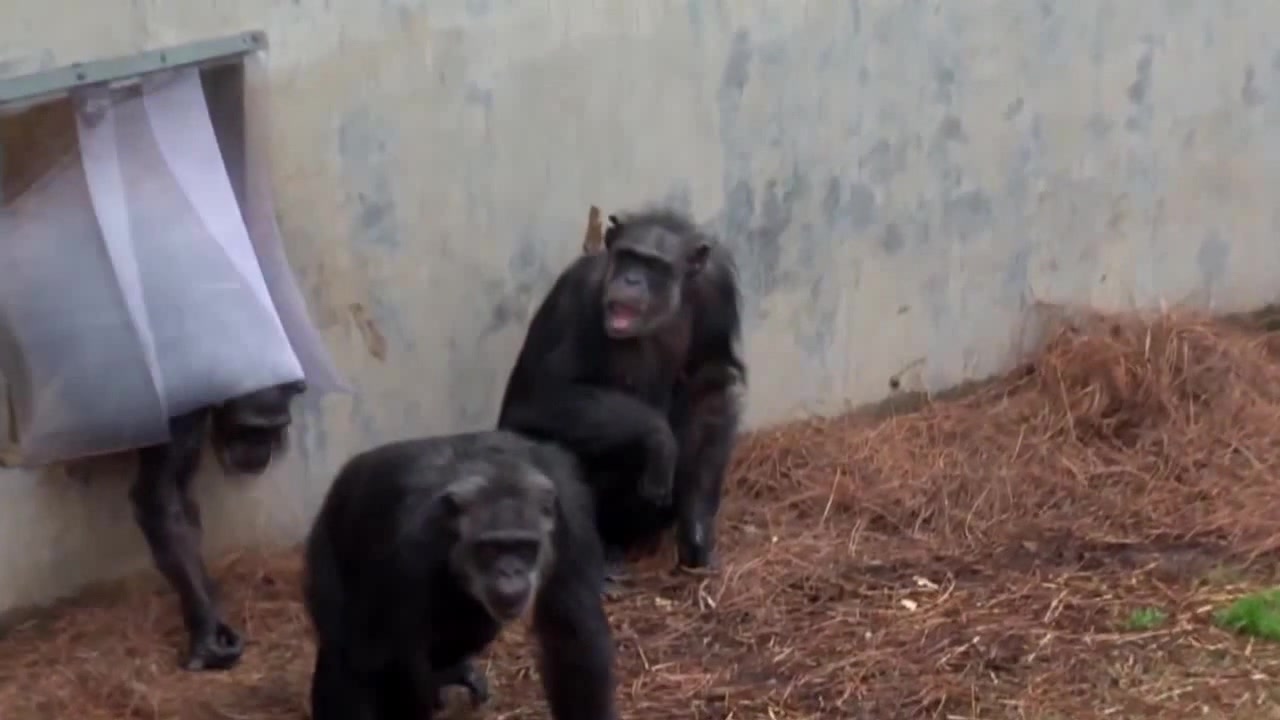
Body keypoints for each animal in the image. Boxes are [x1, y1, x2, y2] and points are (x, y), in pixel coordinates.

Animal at [129, 379, 307, 671]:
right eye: (249, 429)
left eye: (272, 429)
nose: (259, 450)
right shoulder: (180, 418)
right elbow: (160, 498)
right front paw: (207, 633)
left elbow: (182, 497)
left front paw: (211, 603)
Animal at [302, 429, 619, 720]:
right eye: (489, 549)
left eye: (525, 547)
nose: (510, 571)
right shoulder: (406, 539)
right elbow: (386, 661)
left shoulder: (572, 515)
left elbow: (571, 637)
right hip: (324, 548)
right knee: (345, 652)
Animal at [497, 207, 746, 584]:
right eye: (629, 257)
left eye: (655, 266)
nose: (631, 280)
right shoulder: (575, 293)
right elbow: (538, 397)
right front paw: (659, 439)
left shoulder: (718, 291)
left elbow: (712, 386)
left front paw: (697, 533)